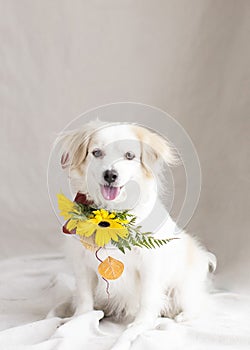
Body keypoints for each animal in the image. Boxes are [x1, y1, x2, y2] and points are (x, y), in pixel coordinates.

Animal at [57, 121, 216, 348]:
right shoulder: (82, 264)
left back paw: (183, 315)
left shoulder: (150, 265)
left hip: (183, 288)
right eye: (97, 153)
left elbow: (148, 299)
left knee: (197, 304)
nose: (110, 175)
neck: (111, 214)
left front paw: (140, 325)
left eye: (129, 156)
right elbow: (84, 297)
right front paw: (79, 319)